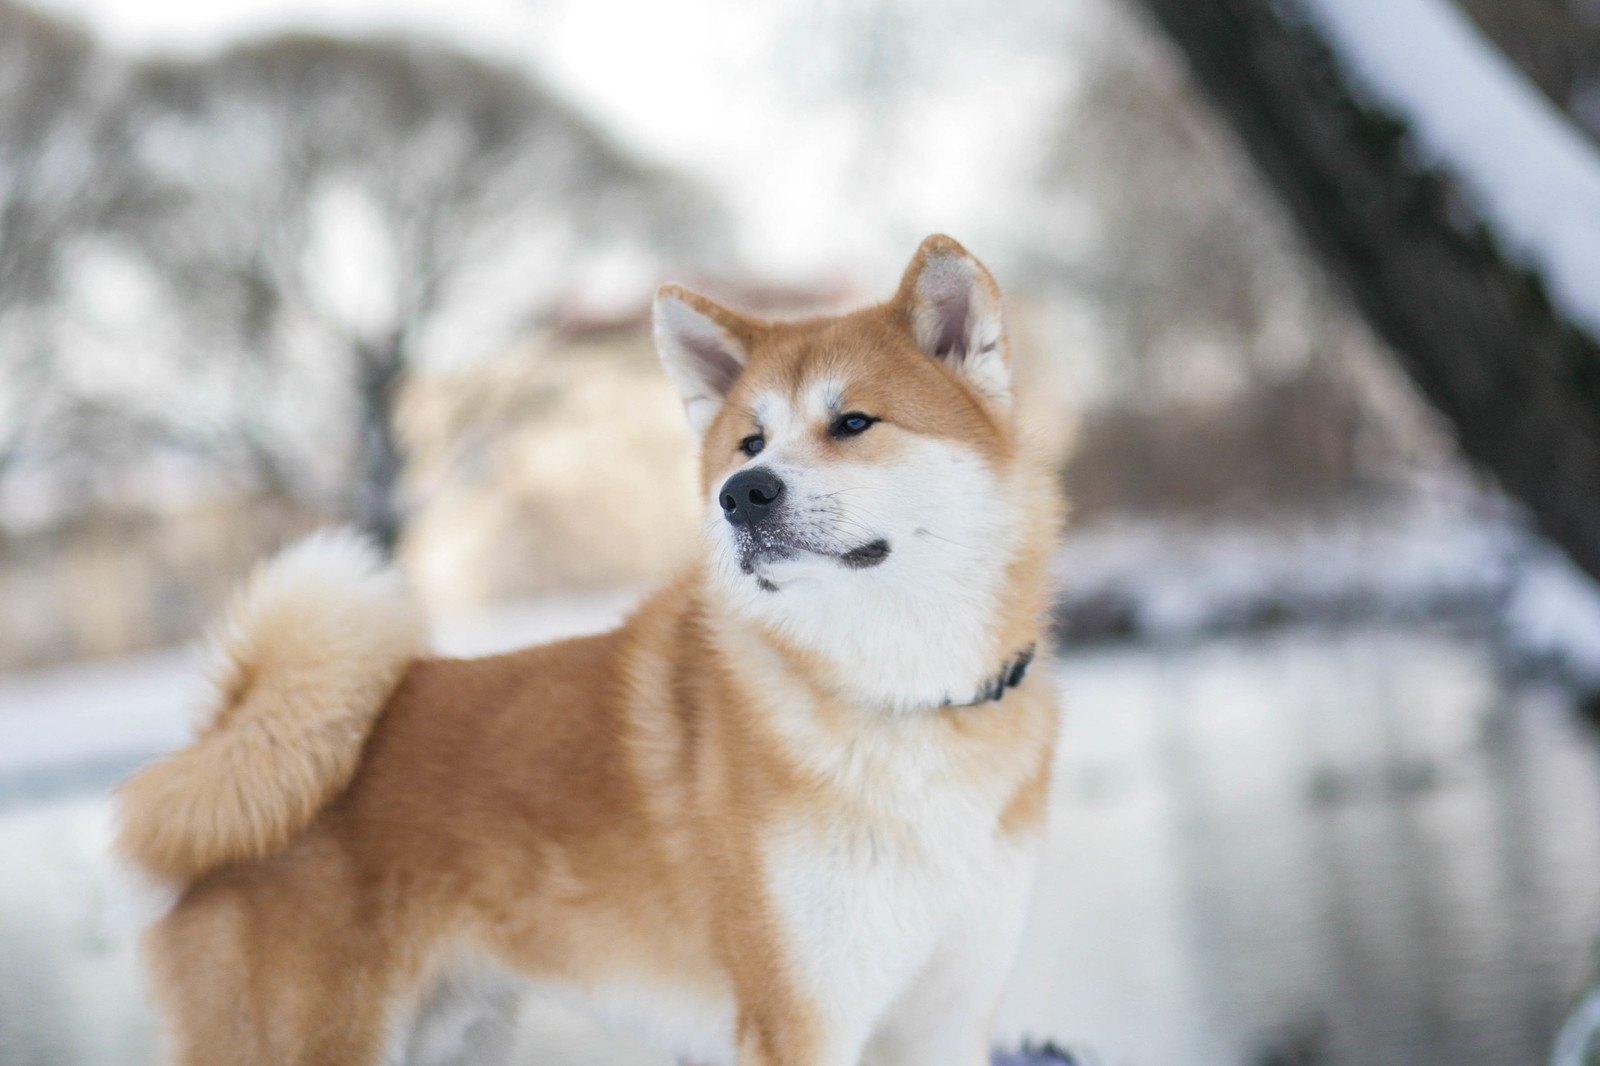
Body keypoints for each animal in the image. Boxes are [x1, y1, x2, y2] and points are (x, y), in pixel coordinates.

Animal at [112, 235, 1062, 1062]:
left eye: (855, 422)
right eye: (749, 442)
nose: (741, 493)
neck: (901, 696)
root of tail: (226, 740)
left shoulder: (945, 1017)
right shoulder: (801, 1019)